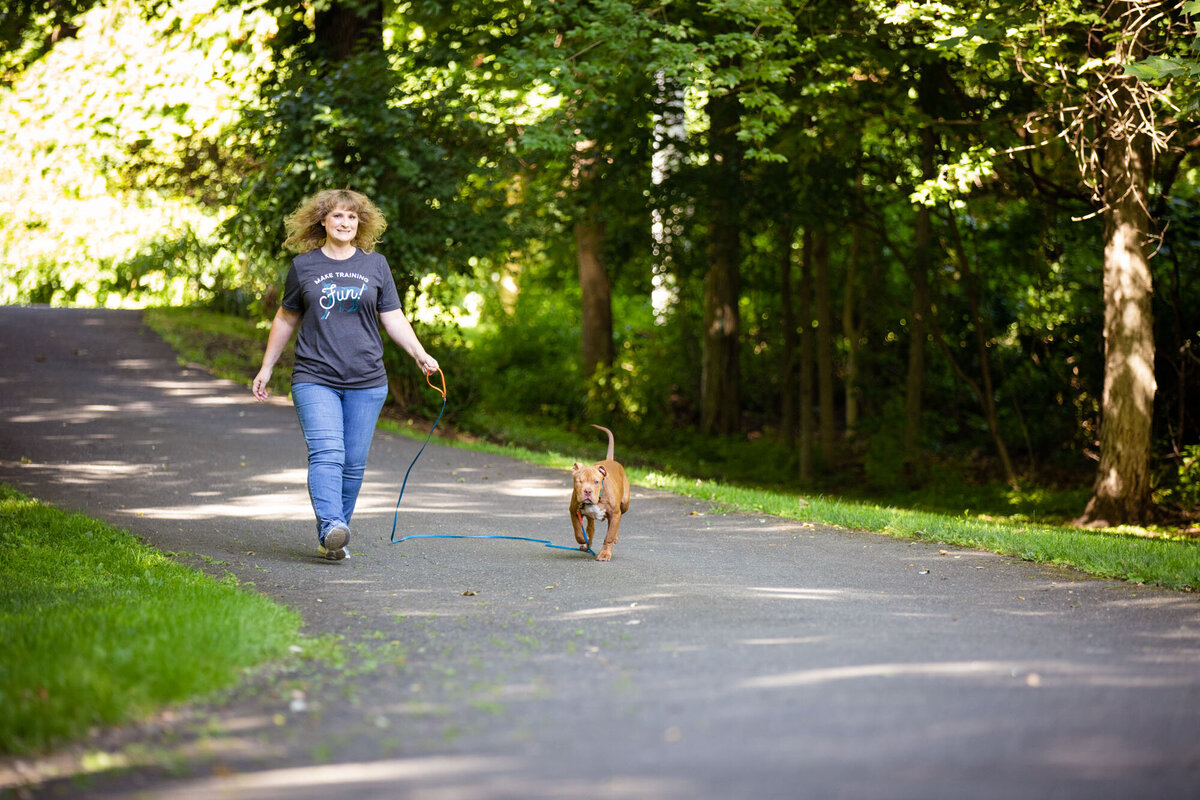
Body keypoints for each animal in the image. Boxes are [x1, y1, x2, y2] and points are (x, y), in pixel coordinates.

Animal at [568, 424, 633, 563]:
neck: (599, 497)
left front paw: (605, 554)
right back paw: (587, 542)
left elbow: (609, 536)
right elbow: (578, 530)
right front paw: (583, 539)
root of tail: (611, 460)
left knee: (616, 522)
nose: (587, 491)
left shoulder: (614, 513)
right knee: (591, 527)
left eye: (596, 482)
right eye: (579, 481)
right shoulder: (573, 511)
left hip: (624, 505)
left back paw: (615, 537)